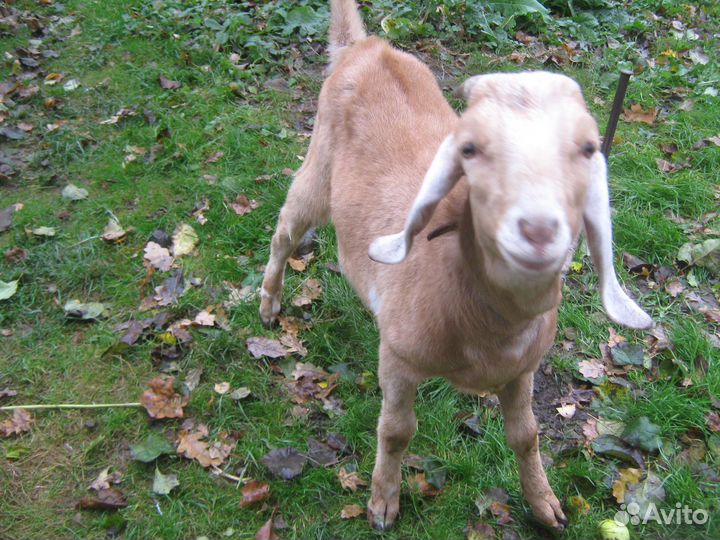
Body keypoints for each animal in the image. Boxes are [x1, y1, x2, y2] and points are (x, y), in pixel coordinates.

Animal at [260, 0, 652, 531]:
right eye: (470, 148)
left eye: (589, 148)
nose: (537, 230)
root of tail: (368, 46)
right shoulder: (399, 358)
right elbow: (397, 430)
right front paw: (383, 503)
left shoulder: (522, 369)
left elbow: (526, 435)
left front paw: (544, 505)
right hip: (316, 173)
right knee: (284, 230)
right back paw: (269, 303)